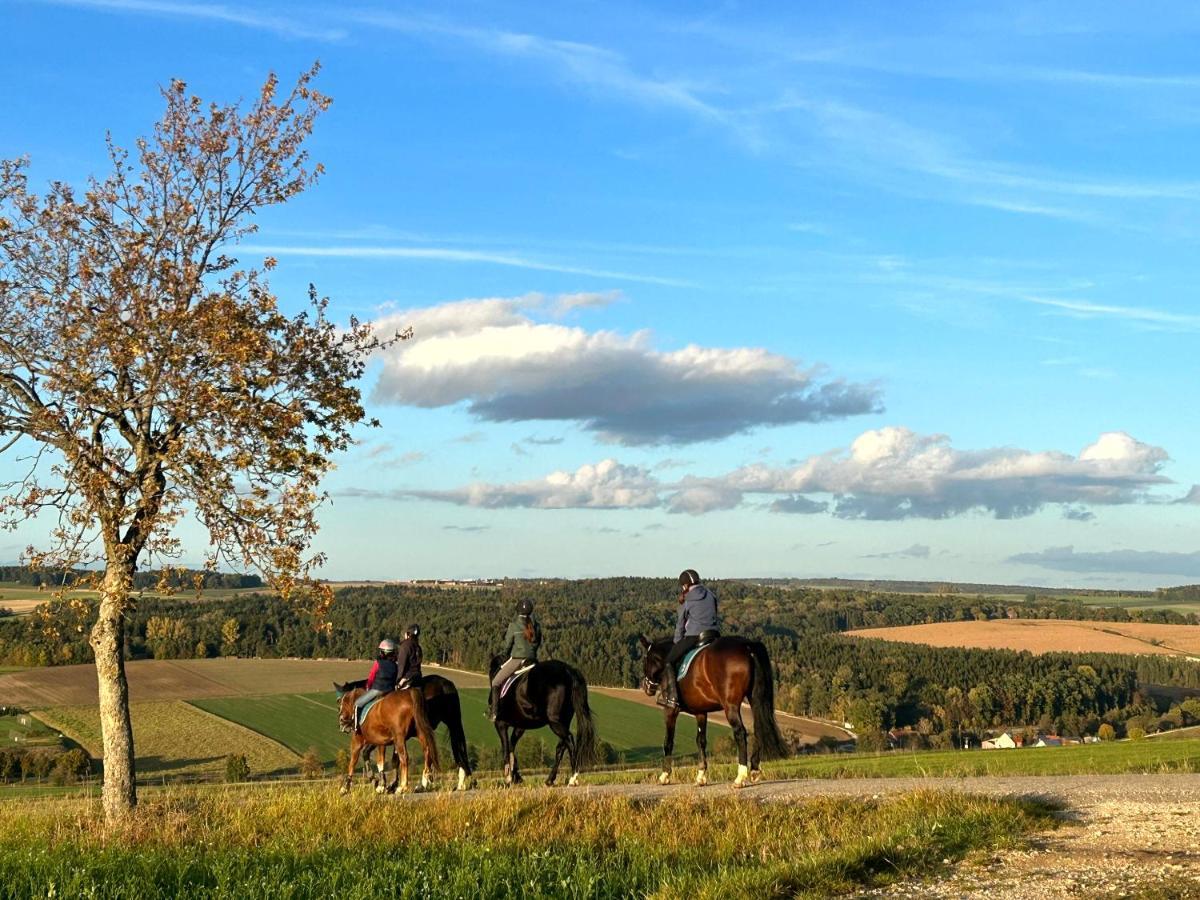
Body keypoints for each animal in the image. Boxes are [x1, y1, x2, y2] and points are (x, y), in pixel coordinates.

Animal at [336, 672, 475, 792]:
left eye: (341, 701)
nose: (342, 723)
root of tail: (447, 685)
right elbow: (384, 757)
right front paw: (383, 782)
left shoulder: (383, 738)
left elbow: (382, 758)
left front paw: (384, 784)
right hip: (450, 723)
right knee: (451, 748)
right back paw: (459, 782)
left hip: (447, 723)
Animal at [489, 657, 597, 787]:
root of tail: (568, 670)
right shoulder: (520, 726)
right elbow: (511, 747)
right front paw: (517, 777)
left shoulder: (500, 724)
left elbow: (505, 748)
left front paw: (509, 778)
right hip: (563, 721)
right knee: (561, 746)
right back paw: (550, 779)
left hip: (554, 721)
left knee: (569, 740)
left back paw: (573, 778)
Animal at [638, 633, 787, 787]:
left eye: (645, 660)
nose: (646, 687)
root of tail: (747, 645)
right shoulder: (700, 712)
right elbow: (701, 741)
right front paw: (701, 776)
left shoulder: (670, 711)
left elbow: (668, 741)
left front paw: (665, 775)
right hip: (754, 699)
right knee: (758, 727)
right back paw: (755, 769)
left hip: (730, 705)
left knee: (740, 732)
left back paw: (740, 777)